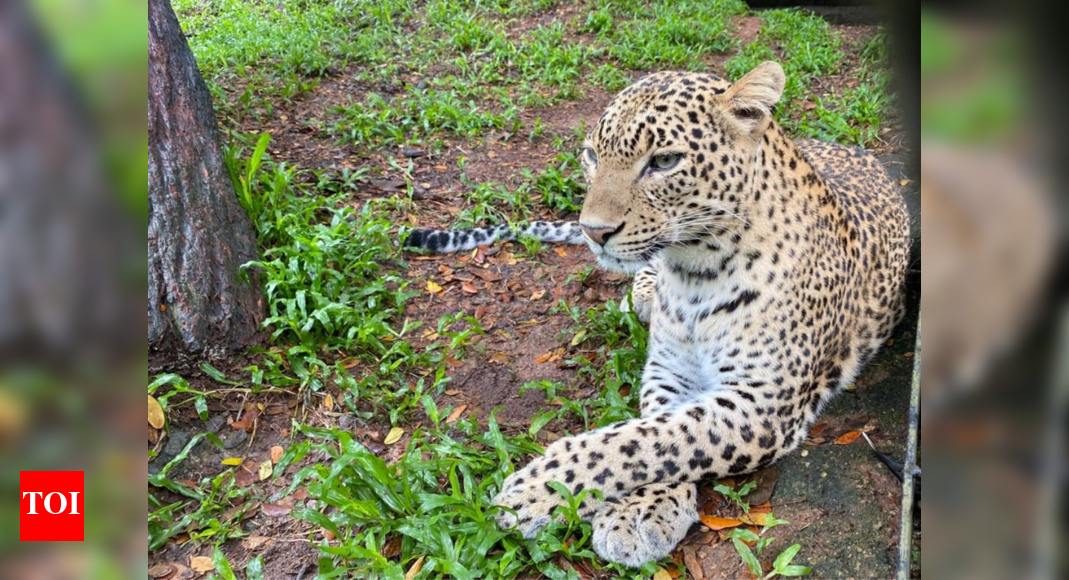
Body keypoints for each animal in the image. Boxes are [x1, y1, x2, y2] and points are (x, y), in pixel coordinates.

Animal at [480, 61, 911, 568]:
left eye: (664, 162)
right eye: (590, 155)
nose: (593, 231)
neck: (695, 274)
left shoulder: (763, 404)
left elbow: (650, 441)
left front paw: (538, 491)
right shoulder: (670, 369)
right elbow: (652, 431)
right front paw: (640, 507)